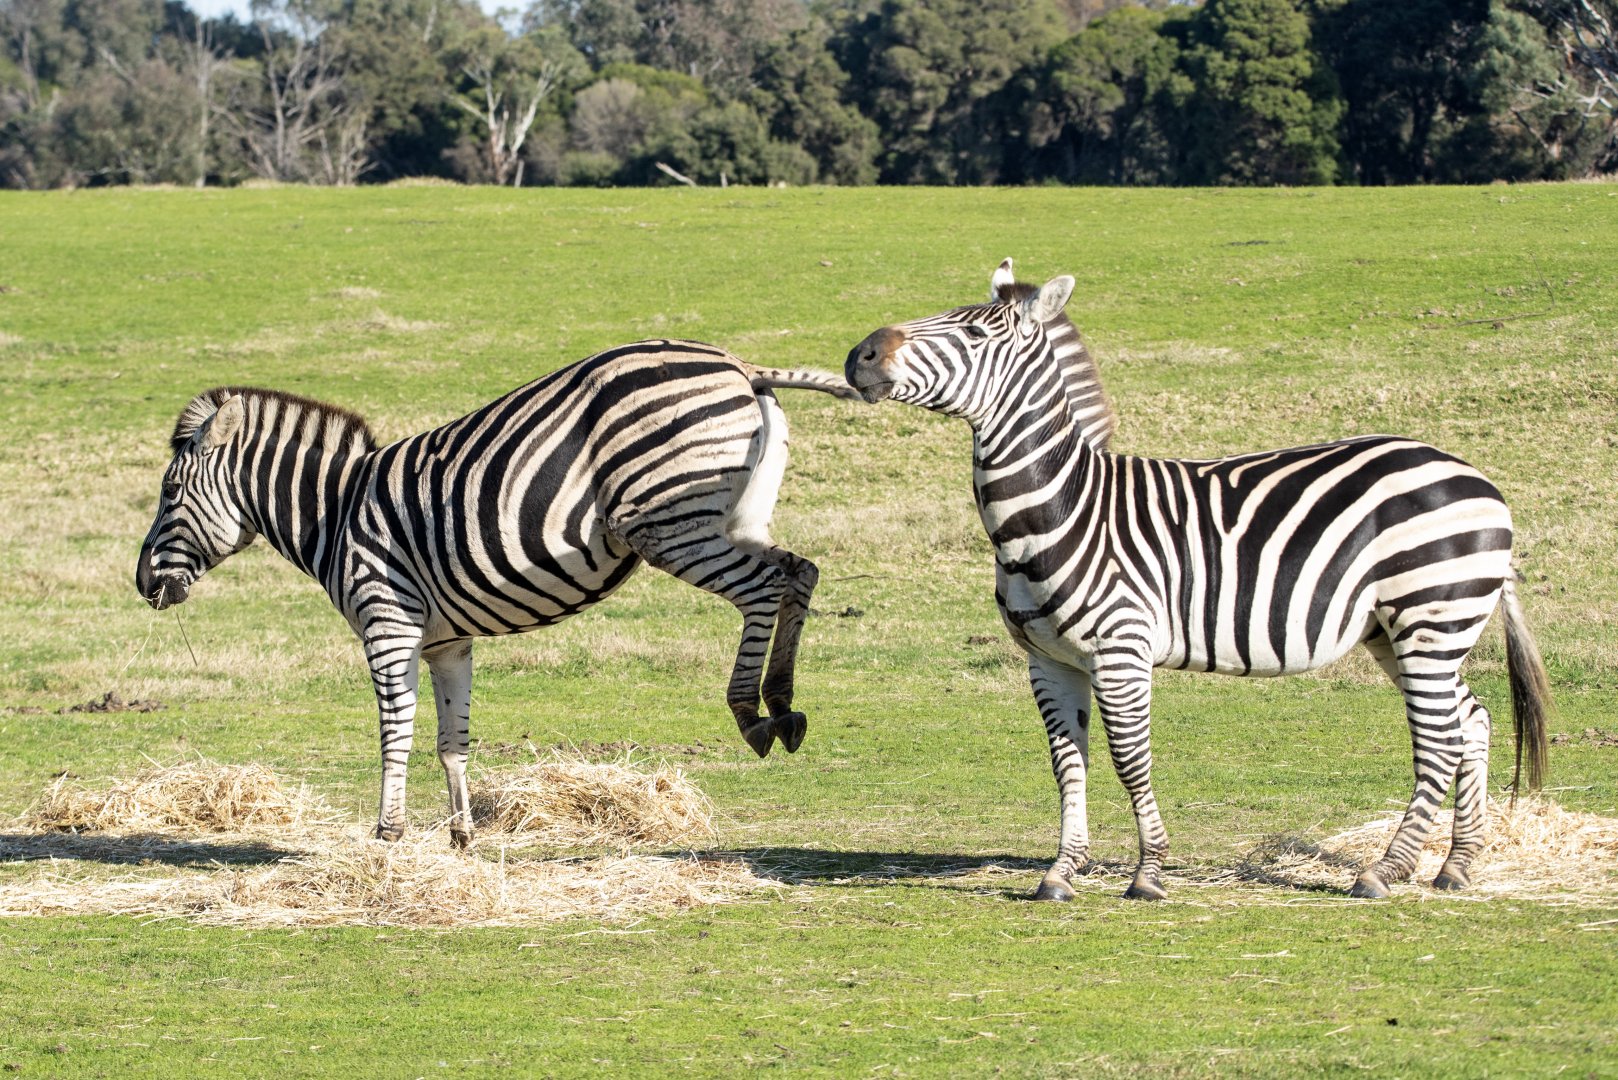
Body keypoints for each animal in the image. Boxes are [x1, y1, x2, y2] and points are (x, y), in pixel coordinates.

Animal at [135, 340, 860, 848]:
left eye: (169, 493)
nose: (142, 583)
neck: (338, 514)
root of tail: (742, 366)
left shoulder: (387, 624)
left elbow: (394, 733)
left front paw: (387, 834)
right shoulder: (447, 644)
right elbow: (451, 740)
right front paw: (462, 836)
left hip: (669, 523)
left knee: (765, 586)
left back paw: (752, 711)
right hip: (731, 518)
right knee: (800, 572)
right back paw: (783, 703)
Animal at [844, 258, 1550, 901]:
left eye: (974, 333)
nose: (859, 354)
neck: (1063, 505)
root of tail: (1476, 477)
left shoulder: (1121, 649)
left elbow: (1130, 760)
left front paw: (1149, 874)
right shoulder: (1048, 660)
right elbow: (1068, 765)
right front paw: (1061, 873)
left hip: (1430, 617)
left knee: (1438, 741)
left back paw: (1384, 872)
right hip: (1399, 630)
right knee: (1473, 719)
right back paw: (1456, 866)